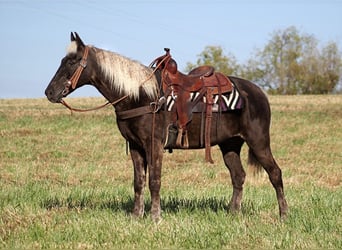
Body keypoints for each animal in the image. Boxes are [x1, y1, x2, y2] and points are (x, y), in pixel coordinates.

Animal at [44, 32, 288, 222]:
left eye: (72, 62)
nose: (49, 92)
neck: (140, 95)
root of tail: (258, 92)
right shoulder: (136, 146)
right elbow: (138, 182)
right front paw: (136, 215)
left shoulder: (154, 144)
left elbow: (154, 181)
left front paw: (155, 217)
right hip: (230, 145)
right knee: (238, 176)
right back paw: (233, 213)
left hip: (258, 141)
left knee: (275, 173)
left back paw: (283, 215)